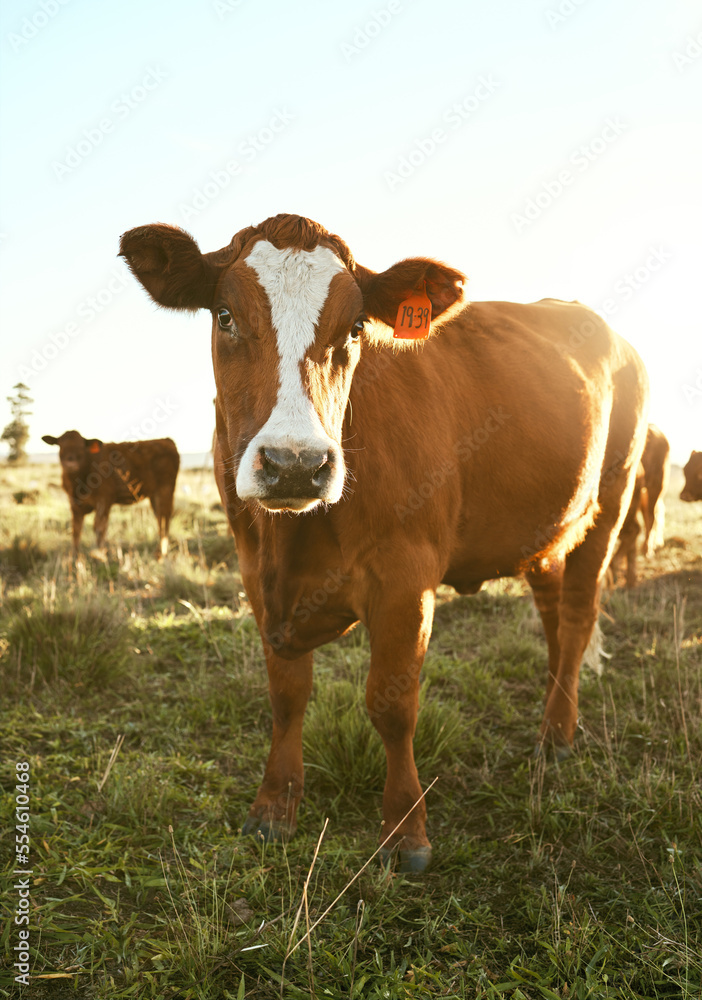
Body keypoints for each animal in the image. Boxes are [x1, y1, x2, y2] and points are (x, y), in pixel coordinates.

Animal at [42, 428, 180, 560]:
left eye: (81, 446)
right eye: (60, 445)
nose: (70, 463)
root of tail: (166, 440)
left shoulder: (104, 500)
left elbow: (99, 528)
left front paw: (100, 556)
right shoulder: (75, 505)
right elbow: (76, 529)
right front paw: (75, 557)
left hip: (165, 491)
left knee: (164, 521)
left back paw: (161, 555)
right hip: (154, 496)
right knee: (160, 520)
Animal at [119, 213, 648, 876]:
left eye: (353, 330)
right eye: (224, 315)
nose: (295, 464)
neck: (290, 540)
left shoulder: (406, 580)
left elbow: (392, 707)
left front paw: (405, 830)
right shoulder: (254, 576)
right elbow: (287, 696)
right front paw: (273, 807)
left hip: (609, 506)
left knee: (576, 619)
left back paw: (557, 737)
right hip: (546, 531)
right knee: (554, 619)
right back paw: (554, 723)